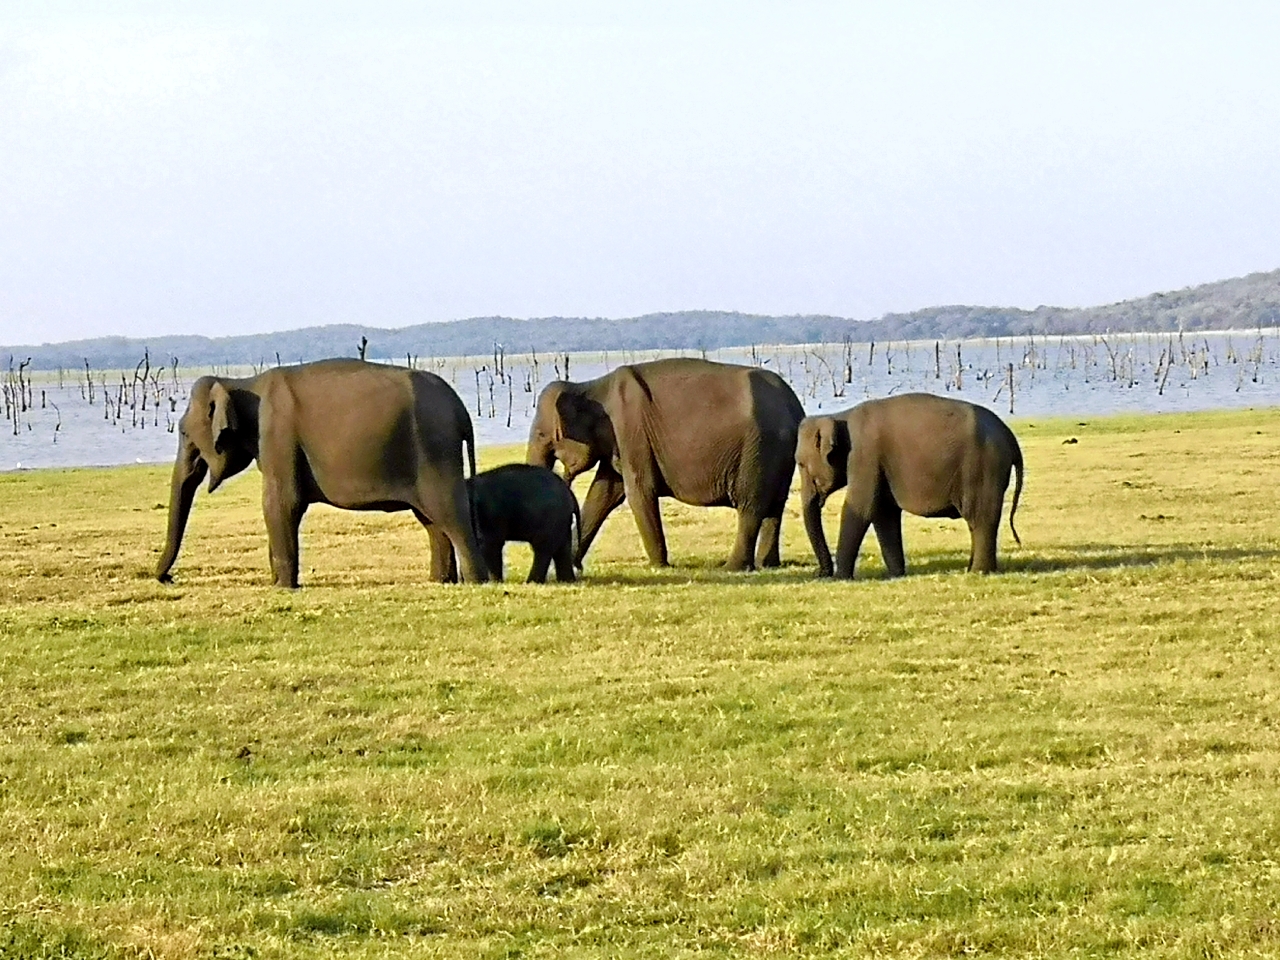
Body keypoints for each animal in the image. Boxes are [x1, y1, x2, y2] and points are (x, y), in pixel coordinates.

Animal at [151, 358, 488, 591]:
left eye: (183, 433)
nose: (167, 578)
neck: (243, 382)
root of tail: (461, 409)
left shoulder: (277, 436)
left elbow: (280, 504)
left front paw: (283, 587)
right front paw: (277, 581)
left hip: (435, 451)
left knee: (450, 515)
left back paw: (476, 582)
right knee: (431, 521)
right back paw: (440, 581)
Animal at [524, 358, 803, 570]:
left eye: (541, 434)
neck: (592, 386)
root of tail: (794, 407)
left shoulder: (631, 432)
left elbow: (639, 492)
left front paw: (659, 566)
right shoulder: (619, 442)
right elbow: (604, 493)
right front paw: (572, 564)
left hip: (759, 449)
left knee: (750, 507)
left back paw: (733, 567)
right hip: (778, 455)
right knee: (775, 508)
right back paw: (768, 564)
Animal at [793, 391, 1024, 578]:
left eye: (801, 464)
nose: (820, 573)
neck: (841, 415)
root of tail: (1009, 435)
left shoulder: (864, 456)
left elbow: (860, 508)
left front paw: (841, 577)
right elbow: (884, 513)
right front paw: (896, 574)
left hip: (984, 467)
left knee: (981, 518)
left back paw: (978, 573)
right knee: (976, 522)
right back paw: (972, 570)